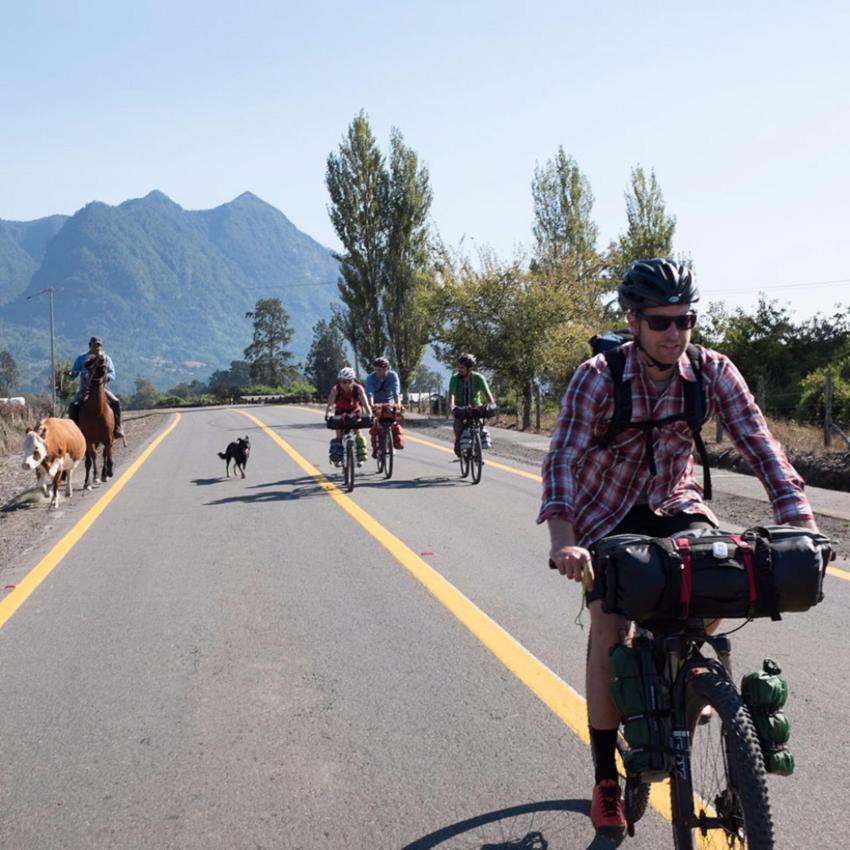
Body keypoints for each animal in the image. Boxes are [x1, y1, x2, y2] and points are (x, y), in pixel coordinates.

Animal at [77, 350, 114, 484]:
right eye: (91, 361)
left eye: (104, 358)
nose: (102, 359)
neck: (97, 412)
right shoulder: (88, 439)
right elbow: (93, 456)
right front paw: (94, 477)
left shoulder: (108, 438)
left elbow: (107, 454)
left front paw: (108, 472)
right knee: (90, 458)